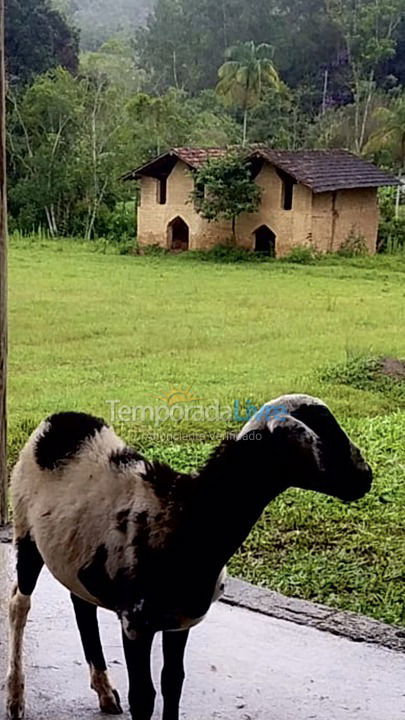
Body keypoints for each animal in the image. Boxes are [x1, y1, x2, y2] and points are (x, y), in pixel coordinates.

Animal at [6, 394, 372, 720]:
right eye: (320, 428)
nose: (365, 476)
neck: (190, 515)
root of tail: (62, 420)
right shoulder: (135, 622)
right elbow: (144, 697)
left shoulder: (179, 621)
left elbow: (173, 684)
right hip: (25, 526)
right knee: (19, 604)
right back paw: (15, 699)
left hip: (76, 553)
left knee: (81, 604)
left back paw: (105, 693)